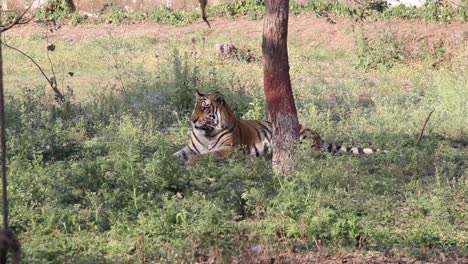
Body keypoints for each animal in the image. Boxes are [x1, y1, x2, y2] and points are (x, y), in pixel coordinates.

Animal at [174, 91, 382, 163]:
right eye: (194, 108)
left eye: (204, 108)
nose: (192, 120)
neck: (207, 132)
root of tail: (316, 134)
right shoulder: (189, 147)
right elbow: (175, 154)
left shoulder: (229, 149)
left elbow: (206, 155)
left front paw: (190, 162)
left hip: (302, 140)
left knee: (319, 154)